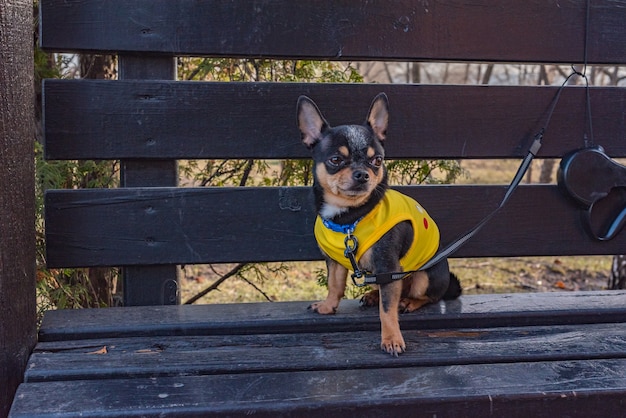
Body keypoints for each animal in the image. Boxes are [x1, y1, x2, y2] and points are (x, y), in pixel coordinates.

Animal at [294, 92, 460, 356]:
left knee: (424, 295)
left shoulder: (387, 266)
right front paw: (328, 306)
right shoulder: (335, 261)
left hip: (424, 276)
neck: (349, 218)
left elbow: (387, 310)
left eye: (377, 160)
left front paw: (392, 338)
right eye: (335, 160)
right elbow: (334, 285)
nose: (362, 173)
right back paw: (373, 294)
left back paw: (408, 302)